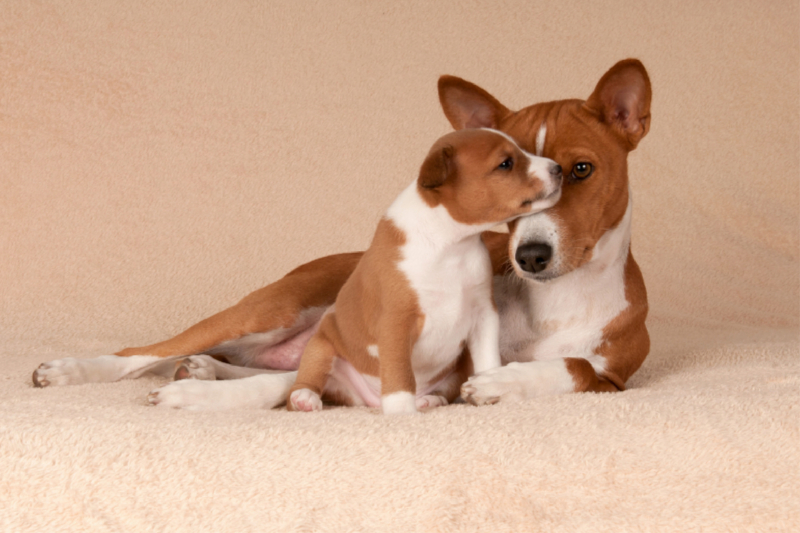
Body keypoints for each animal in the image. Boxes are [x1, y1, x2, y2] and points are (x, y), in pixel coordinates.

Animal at [284, 129, 560, 416]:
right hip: (321, 346)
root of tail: (368, 400)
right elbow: (400, 373)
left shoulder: (484, 314)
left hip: (458, 368)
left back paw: (429, 400)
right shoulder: (396, 321)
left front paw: (490, 384)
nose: (558, 168)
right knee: (306, 381)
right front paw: (401, 411)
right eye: (506, 163)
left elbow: (487, 359)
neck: (451, 246)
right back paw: (304, 398)